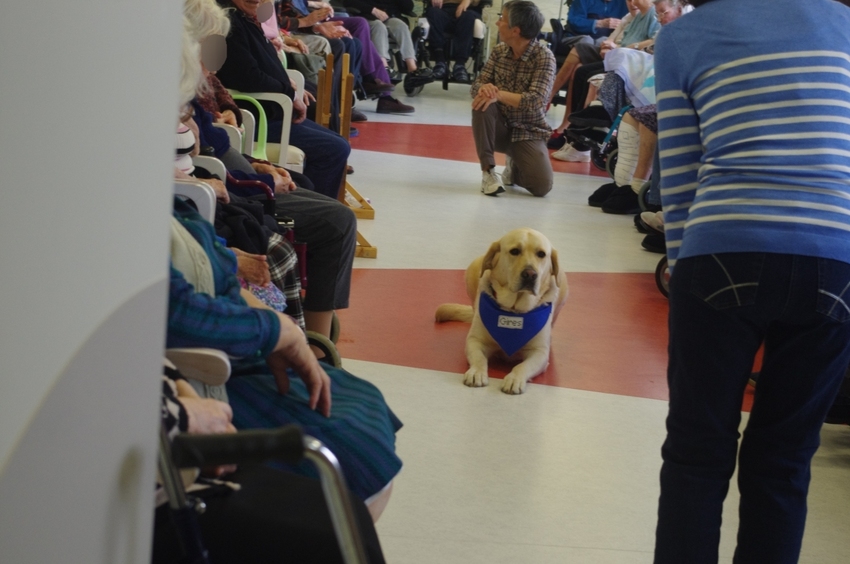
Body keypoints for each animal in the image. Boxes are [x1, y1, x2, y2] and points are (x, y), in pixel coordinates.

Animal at [434, 227, 568, 394]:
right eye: (515, 251)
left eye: (541, 254)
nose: (530, 274)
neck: (513, 309)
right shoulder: (475, 340)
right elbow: (479, 358)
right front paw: (476, 372)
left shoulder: (540, 352)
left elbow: (522, 366)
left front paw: (514, 379)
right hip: (473, 268)